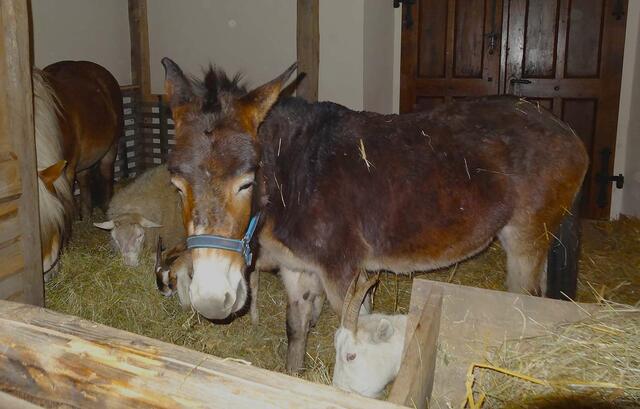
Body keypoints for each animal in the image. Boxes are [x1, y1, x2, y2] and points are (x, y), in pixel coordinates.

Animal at [160, 58, 589, 372]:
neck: (295, 176)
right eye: (176, 185)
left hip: (526, 236)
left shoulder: (344, 273)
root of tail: (565, 129)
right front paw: (295, 378)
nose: (212, 300)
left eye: (246, 182)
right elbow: (296, 331)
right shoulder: (297, 269)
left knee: (526, 297)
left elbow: (356, 330)